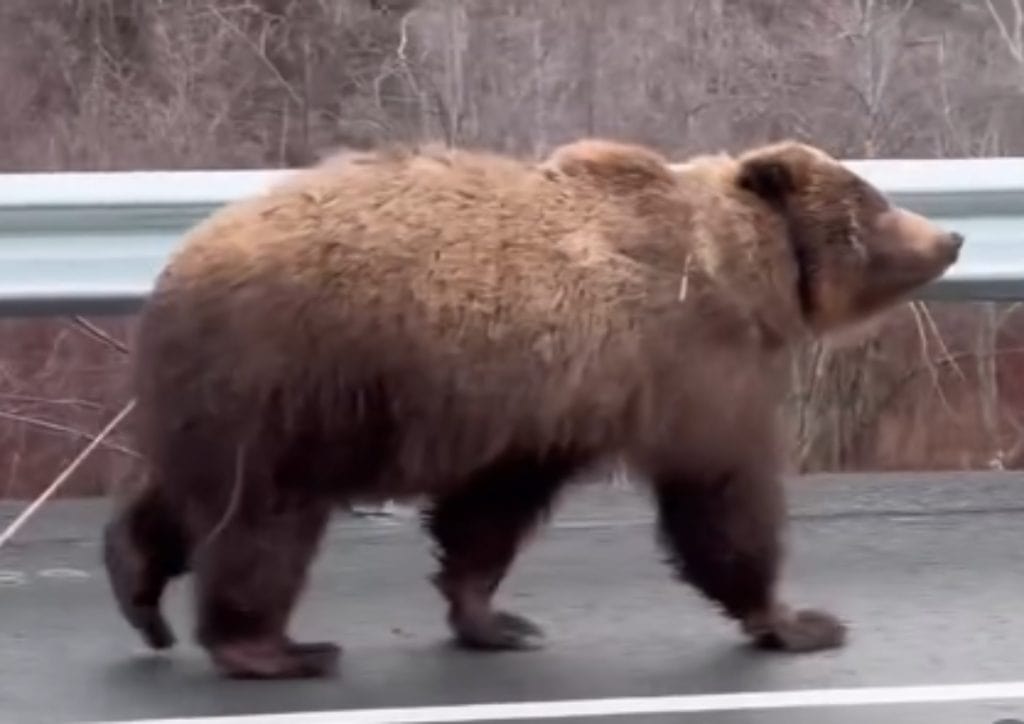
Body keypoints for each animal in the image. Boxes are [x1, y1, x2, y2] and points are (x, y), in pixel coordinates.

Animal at [102, 137, 963, 679]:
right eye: (875, 203)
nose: (952, 235)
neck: (740, 273)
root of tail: (174, 268)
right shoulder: (692, 363)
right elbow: (720, 493)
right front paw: (800, 619)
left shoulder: (548, 407)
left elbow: (489, 513)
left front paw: (496, 620)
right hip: (290, 378)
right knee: (263, 519)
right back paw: (274, 649)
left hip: (227, 399)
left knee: (188, 495)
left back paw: (139, 587)